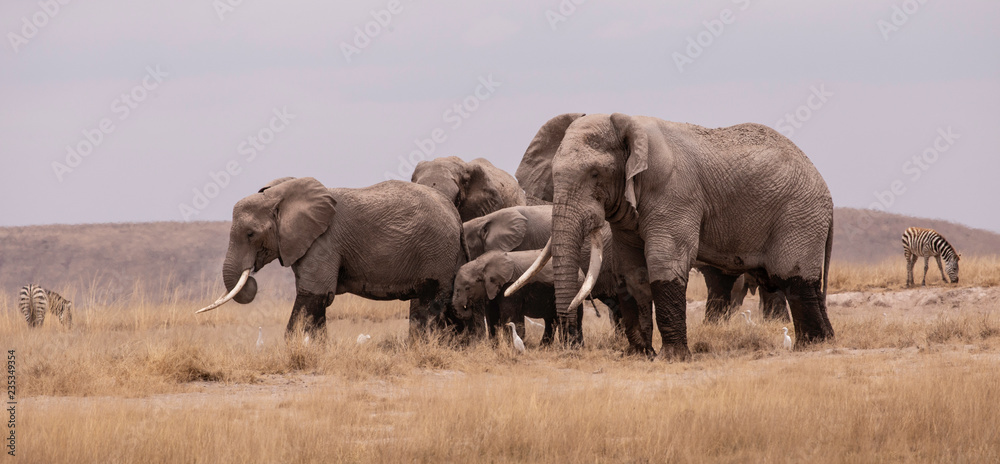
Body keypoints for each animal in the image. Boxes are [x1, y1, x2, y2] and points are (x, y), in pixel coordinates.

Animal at [196, 177, 466, 340]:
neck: (280, 196)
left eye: (250, 234)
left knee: (431, 300)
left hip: (436, 249)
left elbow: (313, 295)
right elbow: (317, 298)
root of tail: (454, 214)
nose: (252, 279)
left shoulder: (324, 242)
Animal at [507, 113, 834, 359]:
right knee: (806, 283)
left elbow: (664, 261)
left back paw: (811, 345)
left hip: (798, 215)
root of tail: (827, 192)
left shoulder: (673, 192)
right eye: (554, 175)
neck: (628, 127)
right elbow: (632, 271)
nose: (571, 347)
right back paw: (827, 340)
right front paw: (640, 355)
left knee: (793, 279)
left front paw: (673, 357)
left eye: (595, 174)